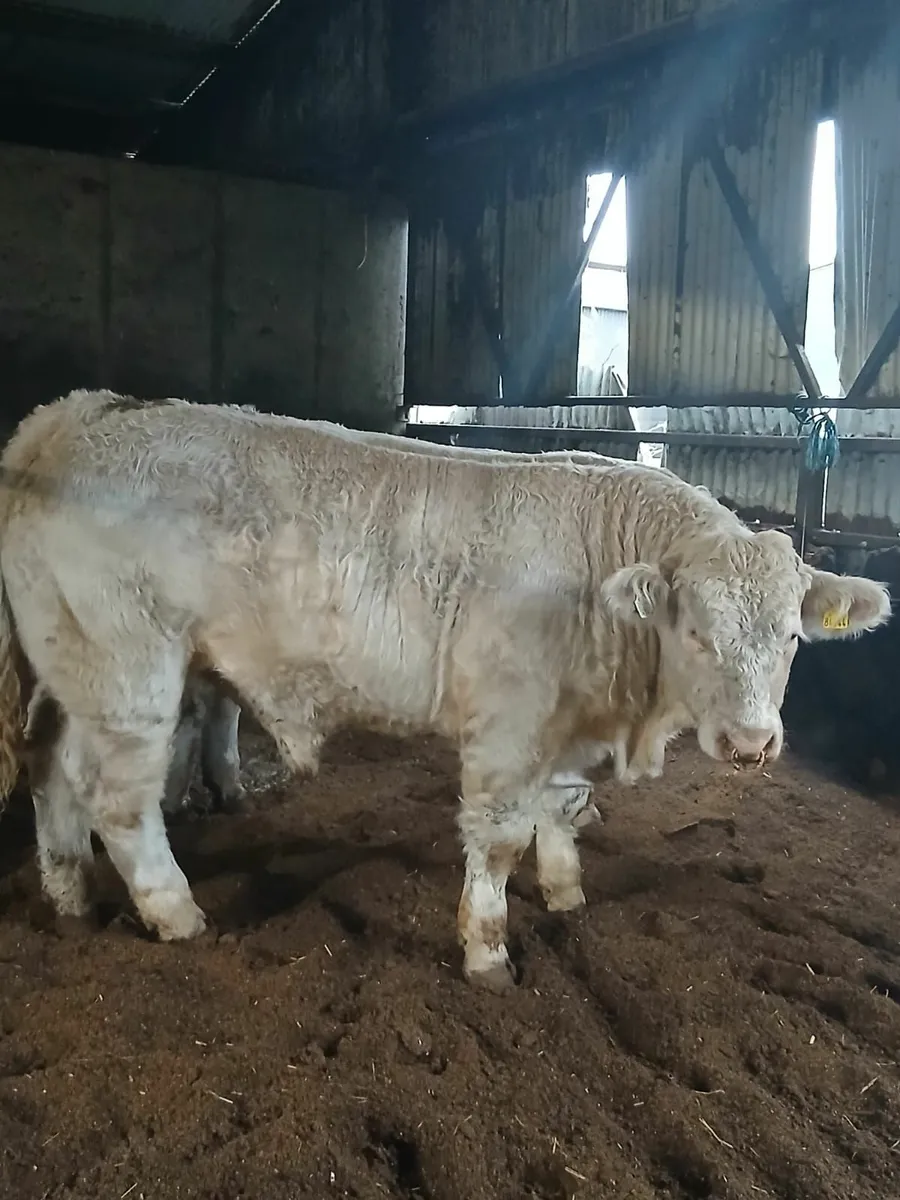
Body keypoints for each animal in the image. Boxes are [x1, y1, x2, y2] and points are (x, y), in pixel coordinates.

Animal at [0, 389, 888, 992]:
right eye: (698, 632)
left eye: (792, 637)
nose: (750, 744)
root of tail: (75, 414)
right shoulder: (506, 727)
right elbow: (497, 840)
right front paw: (488, 953)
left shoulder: (566, 727)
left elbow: (563, 811)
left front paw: (566, 895)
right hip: (130, 668)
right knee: (117, 799)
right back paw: (178, 915)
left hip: (76, 669)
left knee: (52, 770)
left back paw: (70, 895)